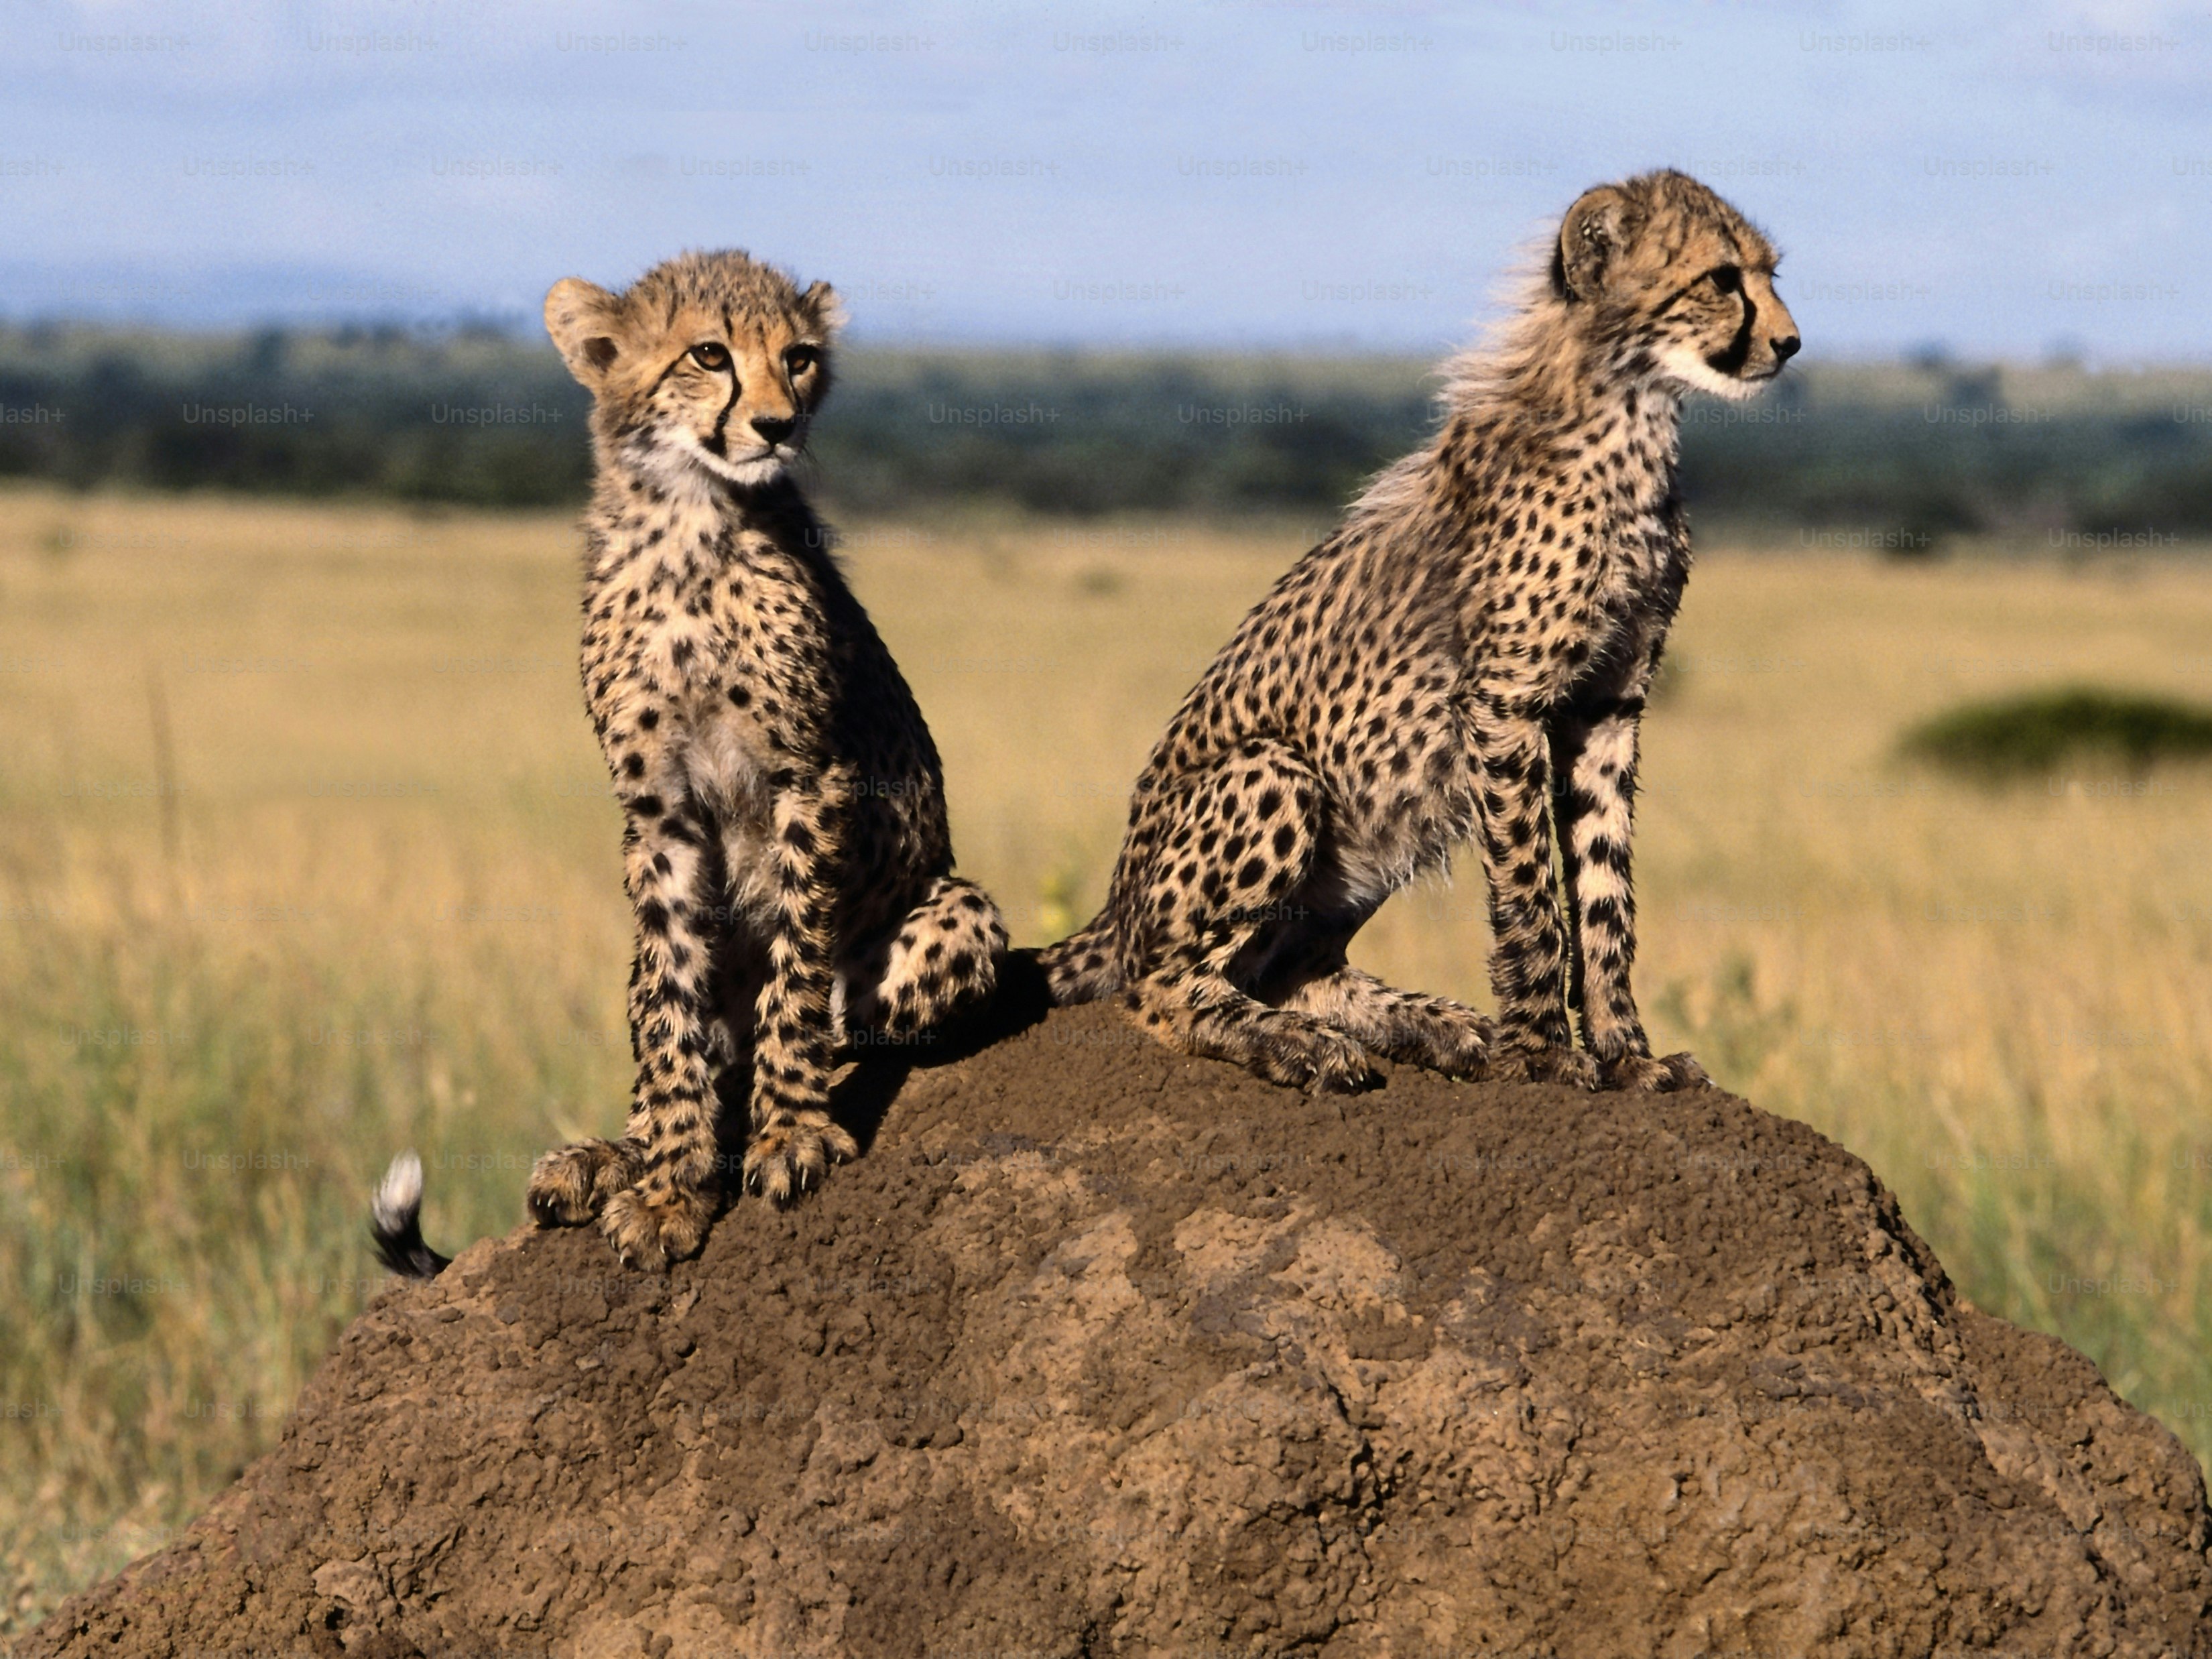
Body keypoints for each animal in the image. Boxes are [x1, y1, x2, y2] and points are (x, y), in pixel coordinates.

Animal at [1038, 169, 1798, 1098]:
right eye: (1722, 278)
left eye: (1769, 272)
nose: (1790, 343)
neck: (1629, 412)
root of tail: (1113, 906)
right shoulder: (1505, 704)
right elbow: (1531, 887)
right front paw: (1544, 1051)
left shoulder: (1610, 705)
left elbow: (1604, 888)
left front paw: (1627, 1053)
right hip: (1278, 772)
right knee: (1158, 985)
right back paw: (1304, 1045)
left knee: (1287, 966)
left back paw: (1434, 1027)